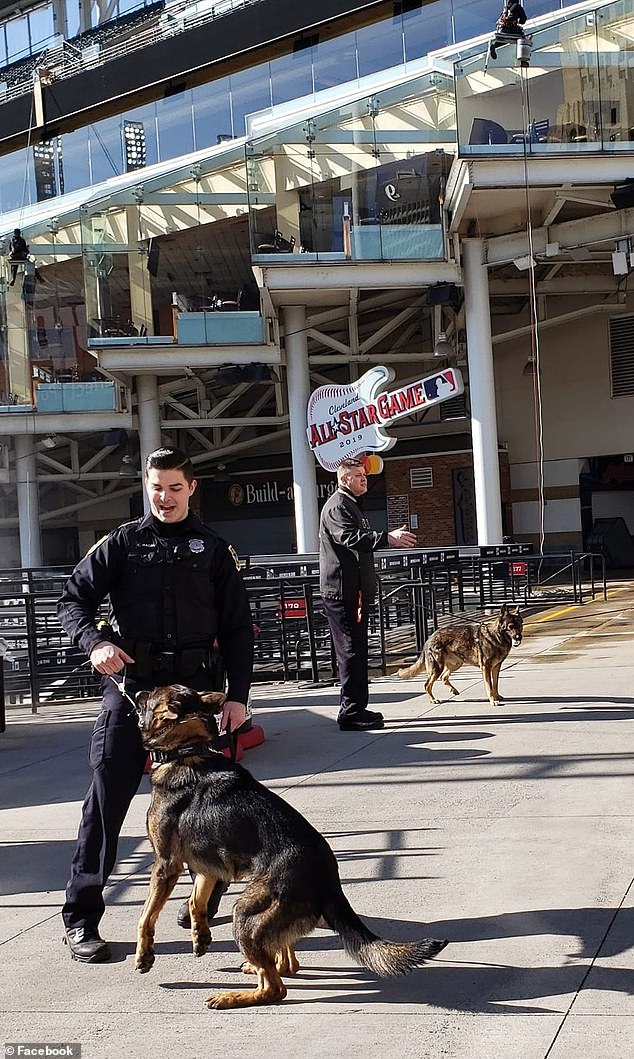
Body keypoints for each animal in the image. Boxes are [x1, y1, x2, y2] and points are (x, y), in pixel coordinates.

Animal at [132, 686, 446, 1008]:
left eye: (151, 695)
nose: (137, 690)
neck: (187, 751)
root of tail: (329, 881)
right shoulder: (207, 866)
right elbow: (197, 901)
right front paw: (200, 936)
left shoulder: (166, 864)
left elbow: (146, 916)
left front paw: (144, 954)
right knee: (284, 962)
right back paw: (255, 966)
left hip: (246, 914)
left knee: (275, 986)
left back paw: (234, 995)